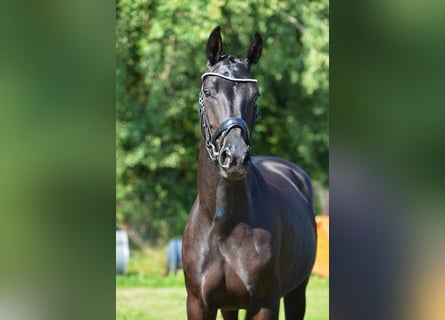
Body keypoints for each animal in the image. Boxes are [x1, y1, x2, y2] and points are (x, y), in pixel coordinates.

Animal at [181, 26, 316, 318]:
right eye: (208, 91)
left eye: (255, 95)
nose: (235, 157)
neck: (223, 226)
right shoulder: (198, 303)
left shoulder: (265, 304)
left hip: (297, 292)